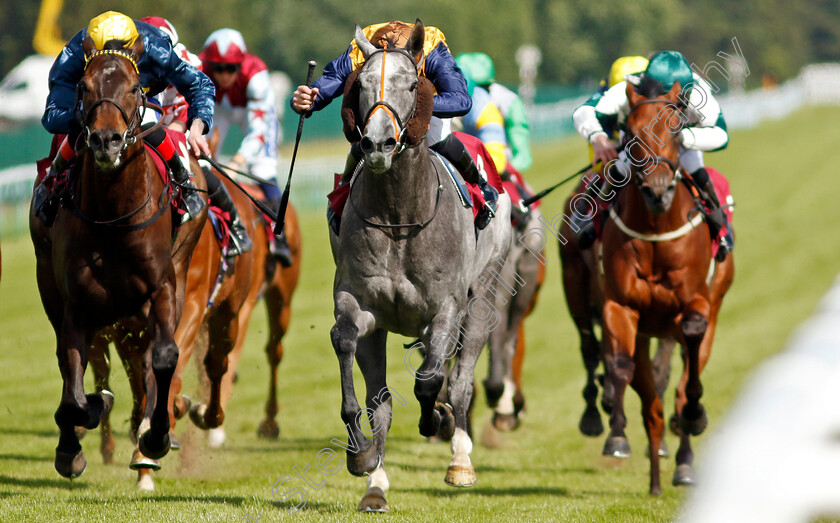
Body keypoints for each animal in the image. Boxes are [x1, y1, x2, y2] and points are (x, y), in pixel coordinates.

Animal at [30, 36, 208, 478]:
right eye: (83, 87)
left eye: (133, 88)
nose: (105, 140)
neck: (113, 216)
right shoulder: (77, 303)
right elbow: (74, 380)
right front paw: (75, 441)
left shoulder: (161, 288)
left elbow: (163, 357)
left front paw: (156, 436)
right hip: (48, 283)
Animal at [328, 23, 512, 512]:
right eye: (361, 85)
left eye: (413, 85)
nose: (377, 143)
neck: (399, 215)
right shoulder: (361, 305)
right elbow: (349, 351)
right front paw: (361, 456)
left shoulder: (446, 308)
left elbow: (430, 380)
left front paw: (438, 420)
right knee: (385, 397)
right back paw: (375, 484)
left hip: (485, 296)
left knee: (461, 379)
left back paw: (460, 458)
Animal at [564, 83, 736, 496]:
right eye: (631, 134)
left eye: (676, 132)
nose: (658, 192)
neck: (658, 229)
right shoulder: (620, 306)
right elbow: (620, 367)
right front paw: (617, 436)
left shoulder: (696, 305)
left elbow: (687, 367)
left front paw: (693, 416)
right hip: (576, 286)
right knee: (596, 352)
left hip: (713, 303)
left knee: (682, 378)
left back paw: (684, 459)